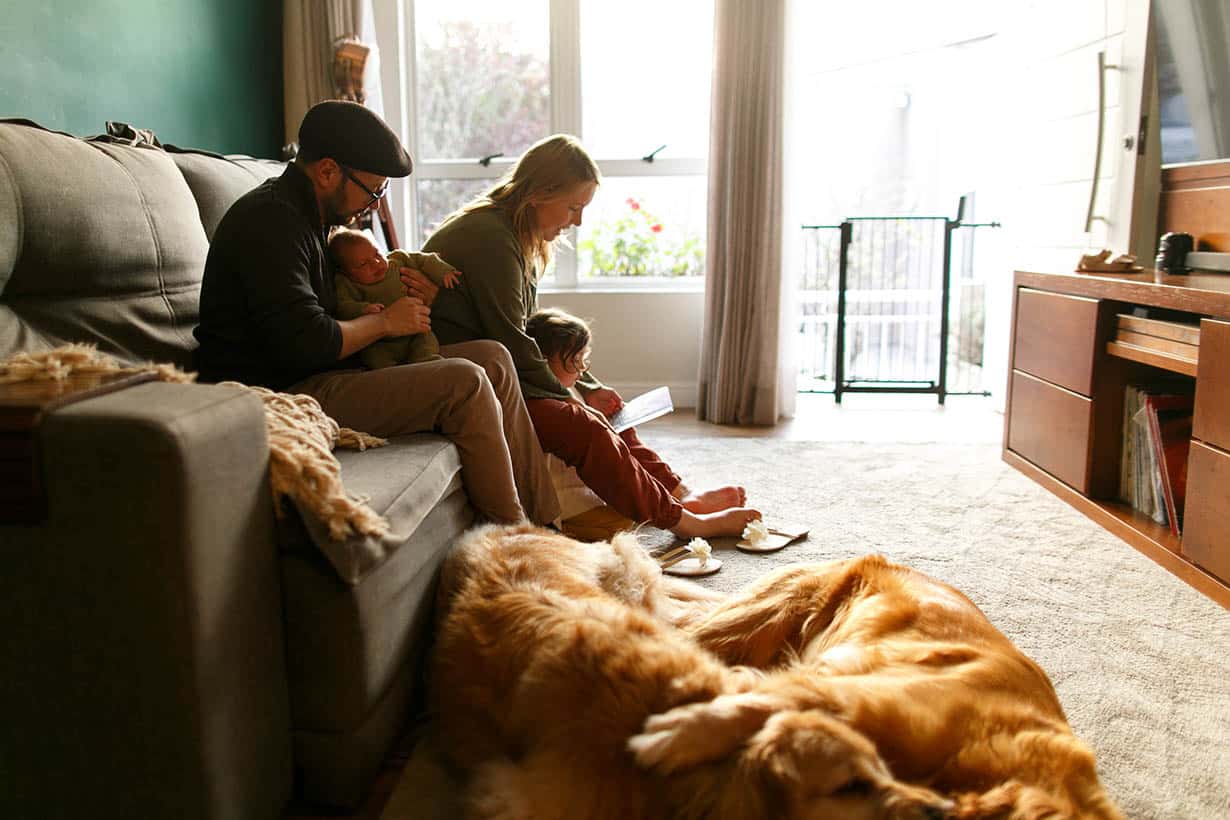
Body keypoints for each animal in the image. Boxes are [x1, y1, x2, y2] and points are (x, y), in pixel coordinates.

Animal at [432, 526, 1126, 820]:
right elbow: (754, 705)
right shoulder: (862, 690)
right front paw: (676, 735)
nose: (935, 812)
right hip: (753, 620)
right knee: (680, 617)